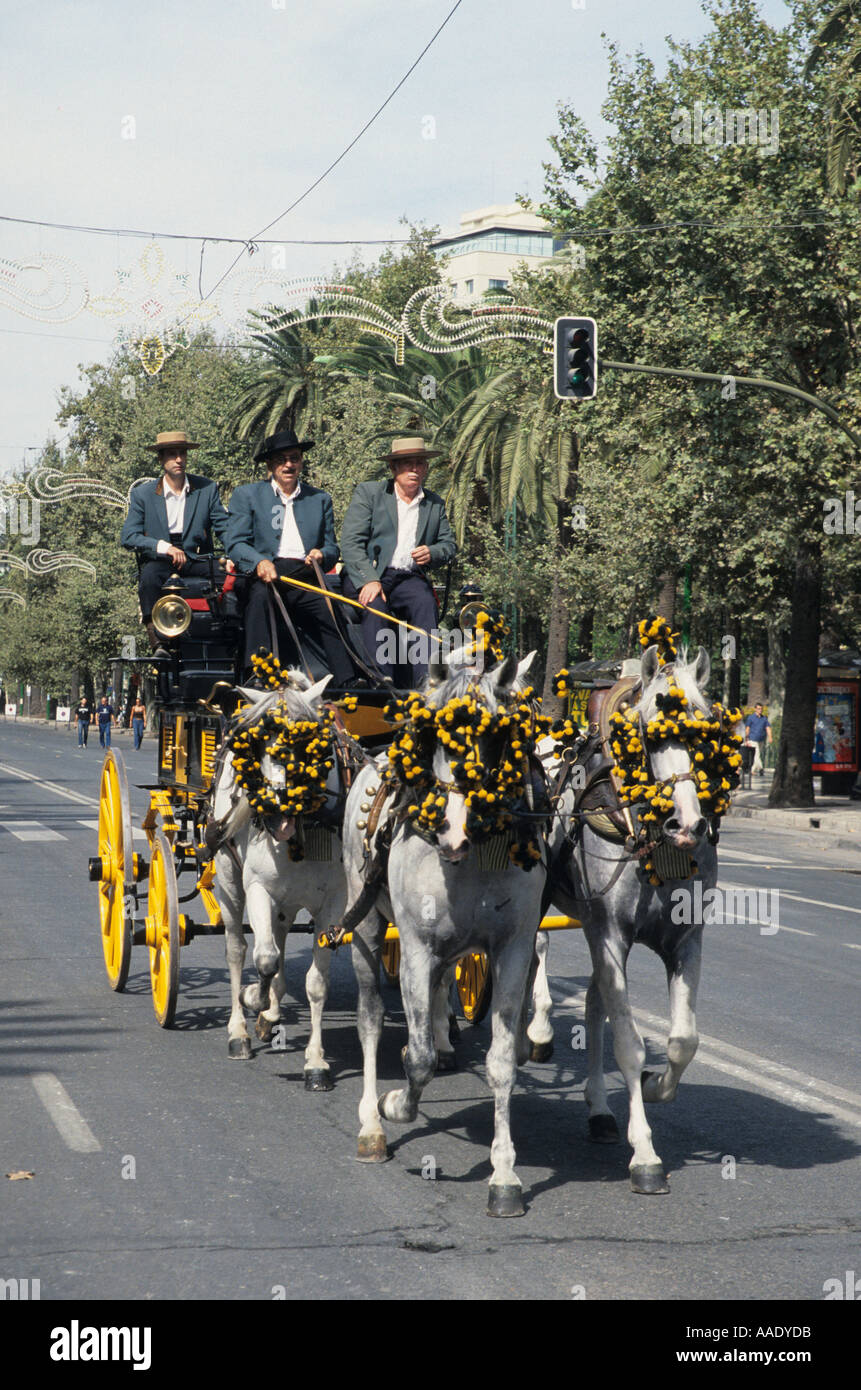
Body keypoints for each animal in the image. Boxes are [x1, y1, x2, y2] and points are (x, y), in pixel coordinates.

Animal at [212, 672, 346, 1084]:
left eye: (307, 742)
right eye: (257, 742)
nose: (275, 804)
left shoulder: (335, 903)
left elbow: (316, 983)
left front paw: (315, 1061)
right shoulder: (258, 888)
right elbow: (265, 958)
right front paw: (253, 998)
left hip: (288, 901)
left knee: (280, 937)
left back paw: (269, 1013)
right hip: (227, 879)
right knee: (238, 949)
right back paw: (239, 1029)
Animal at [342, 650, 545, 1217]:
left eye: (496, 735)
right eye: (434, 731)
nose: (453, 830)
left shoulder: (512, 949)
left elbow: (501, 1061)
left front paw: (504, 1175)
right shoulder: (414, 948)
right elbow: (417, 1061)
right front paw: (395, 1104)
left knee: (439, 993)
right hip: (366, 926)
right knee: (370, 1019)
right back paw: (371, 1124)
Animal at [542, 644, 723, 1189]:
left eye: (704, 729)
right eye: (649, 732)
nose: (688, 825)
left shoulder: (686, 940)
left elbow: (683, 1041)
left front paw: (655, 1084)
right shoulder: (610, 935)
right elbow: (628, 1042)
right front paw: (644, 1152)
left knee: (592, 1002)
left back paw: (600, 1110)